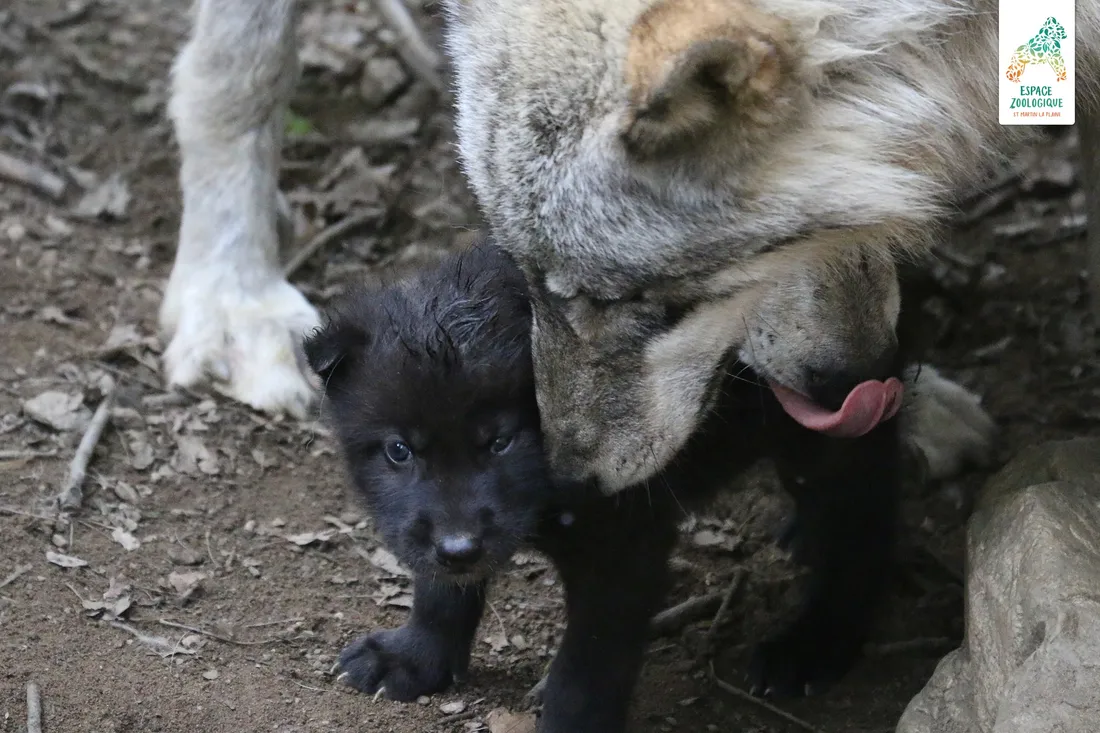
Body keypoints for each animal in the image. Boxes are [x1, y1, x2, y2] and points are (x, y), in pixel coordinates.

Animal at [305, 240, 956, 731]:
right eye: (398, 451)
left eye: (500, 442)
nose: (461, 547)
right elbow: (441, 591)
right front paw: (414, 659)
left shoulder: (623, 549)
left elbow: (587, 667)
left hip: (833, 422)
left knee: (861, 524)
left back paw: (812, 645)